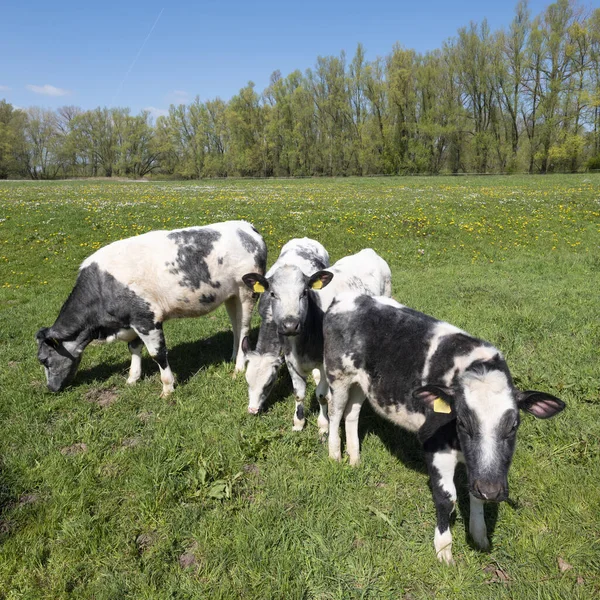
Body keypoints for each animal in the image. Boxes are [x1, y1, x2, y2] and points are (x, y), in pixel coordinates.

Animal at [35, 218, 264, 396]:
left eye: (44, 360)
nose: (51, 389)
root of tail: (246, 226)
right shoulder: (131, 320)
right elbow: (133, 347)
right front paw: (132, 378)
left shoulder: (146, 318)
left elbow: (158, 354)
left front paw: (167, 388)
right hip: (230, 296)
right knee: (235, 326)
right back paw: (234, 357)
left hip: (246, 292)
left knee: (244, 328)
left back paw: (238, 368)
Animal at [322, 292, 564, 564]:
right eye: (462, 422)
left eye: (513, 426)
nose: (492, 490)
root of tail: (350, 296)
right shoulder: (434, 444)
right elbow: (447, 498)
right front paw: (444, 549)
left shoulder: (478, 467)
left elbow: (474, 496)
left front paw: (479, 536)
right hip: (337, 375)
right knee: (335, 412)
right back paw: (335, 455)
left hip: (361, 384)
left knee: (352, 414)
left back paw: (354, 458)